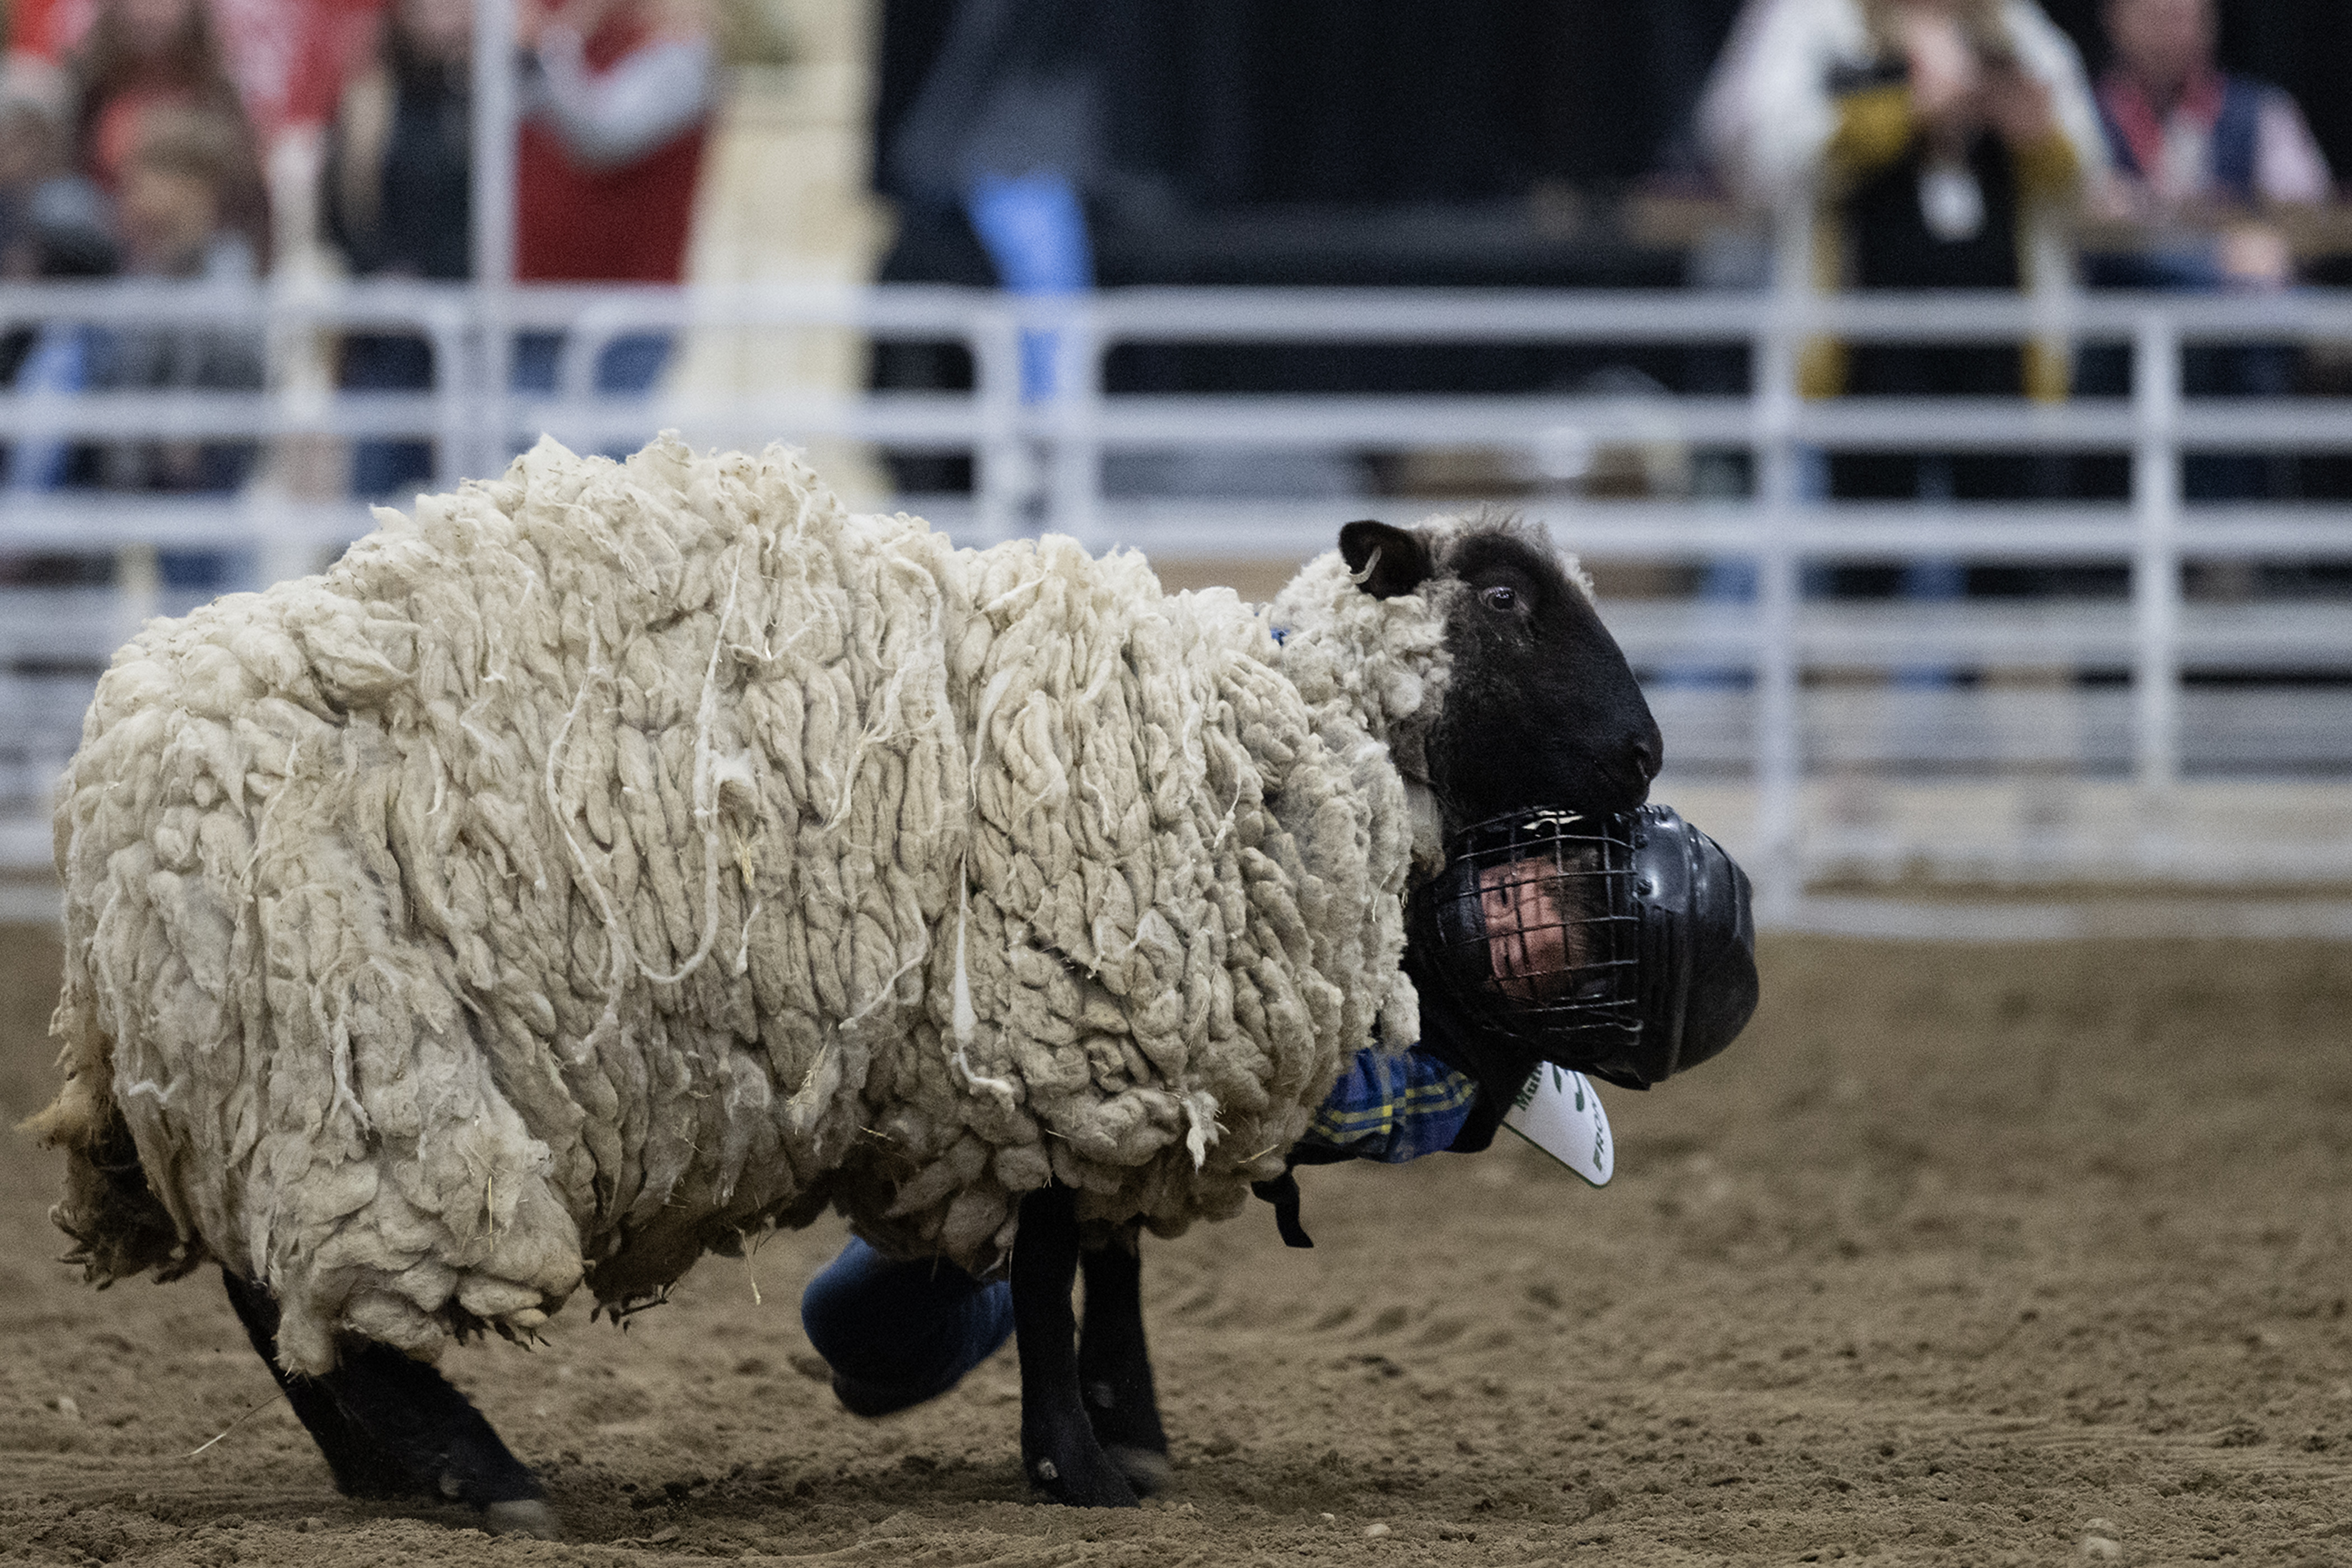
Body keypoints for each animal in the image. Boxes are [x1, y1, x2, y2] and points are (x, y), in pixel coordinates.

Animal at [28, 434, 1663, 1531]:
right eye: (1506, 603)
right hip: (338, 1047)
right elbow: (1059, 1262)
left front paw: (1128, 1436)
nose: (1649, 755)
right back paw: (469, 1474)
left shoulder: (1105, 1060)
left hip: (250, 1071)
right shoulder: (1042, 1034)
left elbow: (1108, 1257)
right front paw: (1079, 1464)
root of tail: (103, 800)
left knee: (271, 1300)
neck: (1282, 737)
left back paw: (392, 1472)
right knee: (303, 1291)